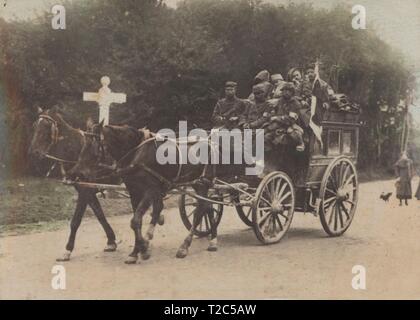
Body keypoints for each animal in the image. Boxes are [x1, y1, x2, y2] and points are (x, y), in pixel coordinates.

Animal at [28, 106, 119, 262]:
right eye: (34, 126)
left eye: (47, 127)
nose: (34, 153)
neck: (78, 152)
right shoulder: (88, 191)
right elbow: (100, 214)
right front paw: (111, 241)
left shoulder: (85, 191)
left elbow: (75, 221)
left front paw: (67, 250)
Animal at [72, 121, 249, 264]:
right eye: (83, 145)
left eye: (92, 146)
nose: (78, 173)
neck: (136, 153)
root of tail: (211, 142)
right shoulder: (134, 191)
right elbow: (137, 220)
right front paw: (137, 251)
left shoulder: (150, 189)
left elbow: (135, 220)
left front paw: (143, 248)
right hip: (199, 184)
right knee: (207, 207)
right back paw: (212, 241)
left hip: (203, 182)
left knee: (200, 211)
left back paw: (185, 246)